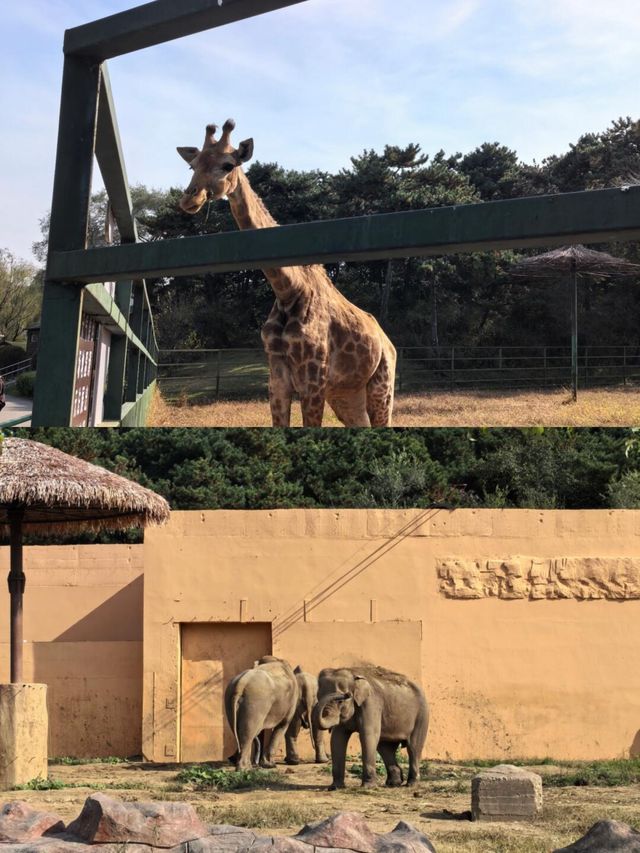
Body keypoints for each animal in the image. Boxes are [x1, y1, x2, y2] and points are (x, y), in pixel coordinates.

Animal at [176, 120, 396, 426]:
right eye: (192, 165)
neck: (289, 289)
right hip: (346, 395)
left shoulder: (314, 379)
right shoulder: (277, 378)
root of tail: (390, 344)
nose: (190, 198)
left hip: (381, 386)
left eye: (228, 165)